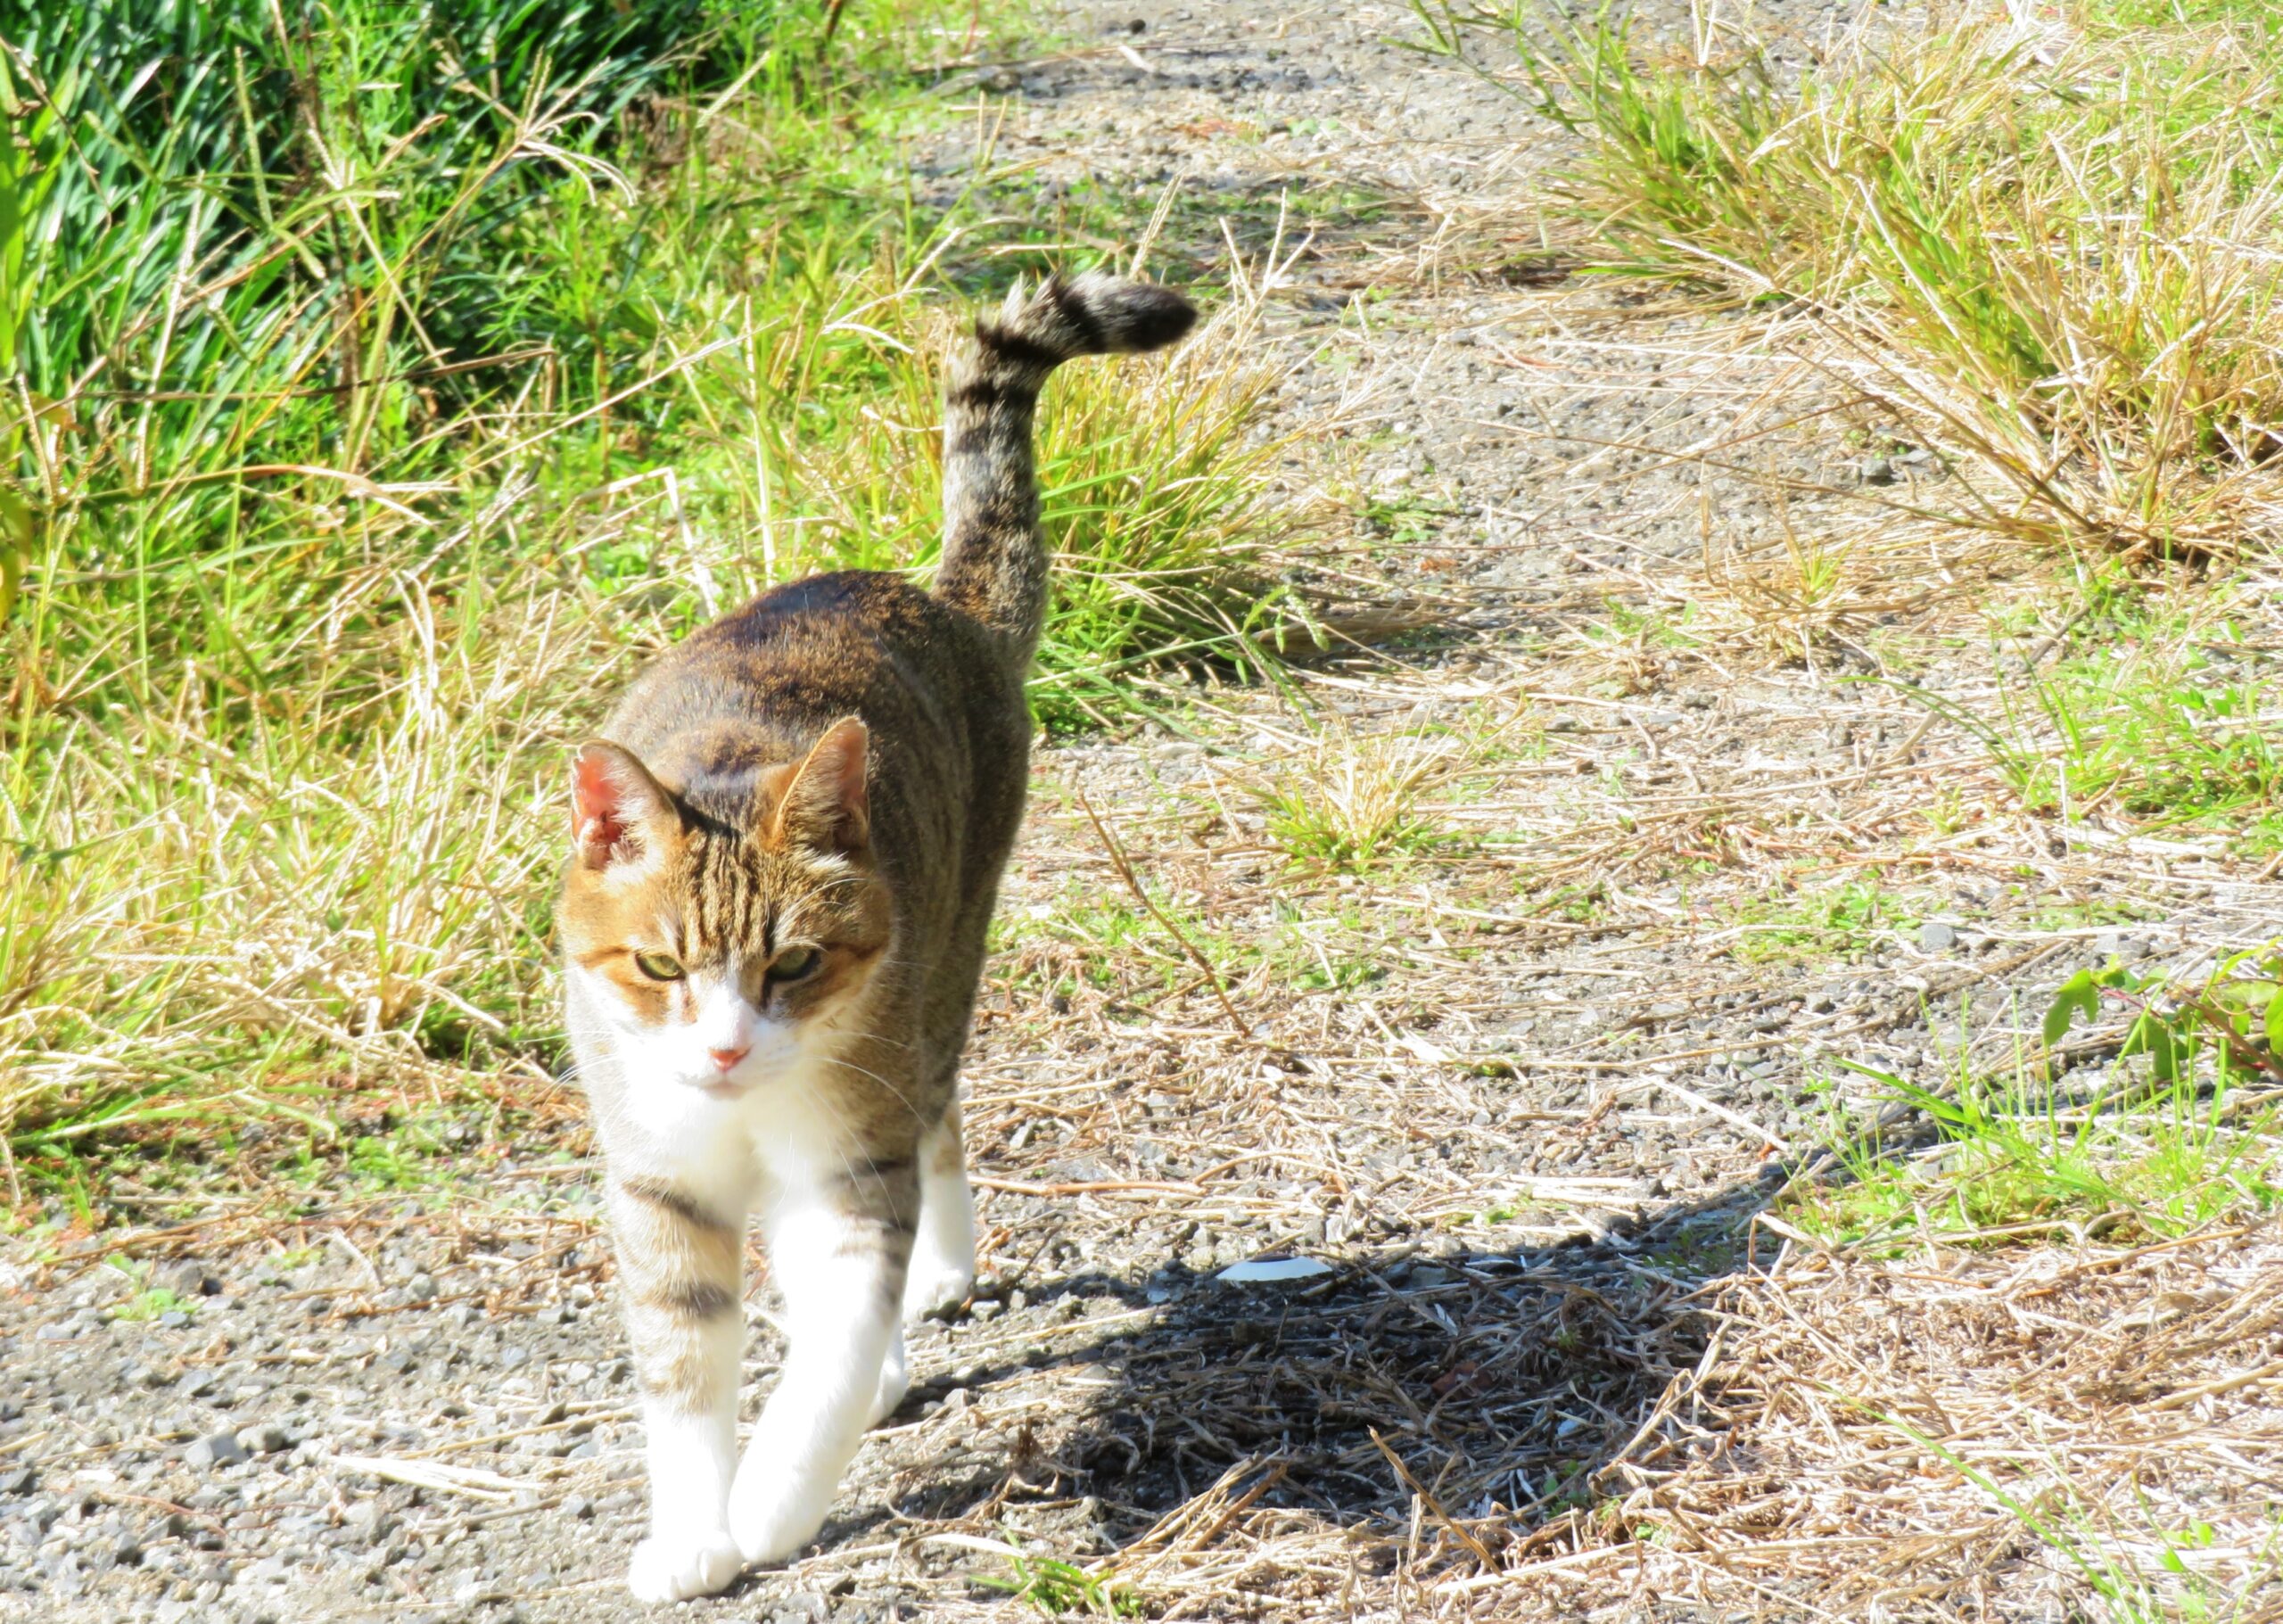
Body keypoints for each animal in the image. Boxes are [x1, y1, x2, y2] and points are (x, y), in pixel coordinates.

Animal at [556, 273, 1196, 1608]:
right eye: (657, 966)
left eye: (795, 963)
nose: (727, 1051)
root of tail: (928, 596)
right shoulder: (658, 1177)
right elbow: (681, 1366)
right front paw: (693, 1532)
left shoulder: (850, 1161)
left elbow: (835, 1350)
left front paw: (773, 1501)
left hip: (943, 965)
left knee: (937, 1113)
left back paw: (931, 1287)